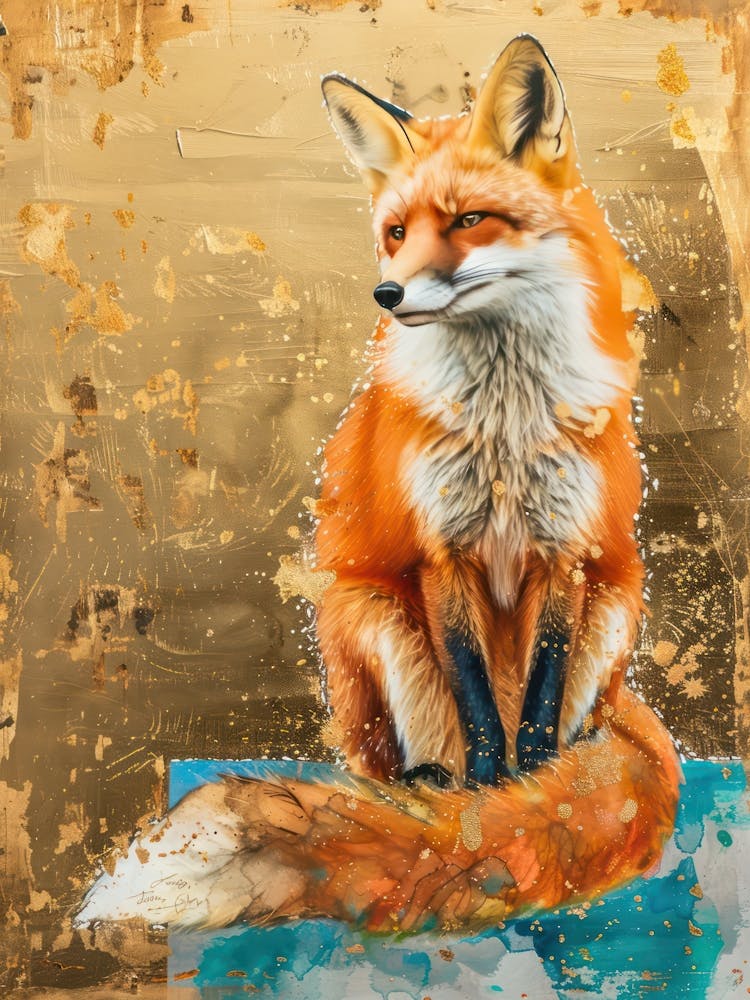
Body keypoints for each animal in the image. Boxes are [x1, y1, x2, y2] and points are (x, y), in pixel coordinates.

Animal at [77, 35, 681, 934]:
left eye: (468, 220)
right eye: (396, 232)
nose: (388, 293)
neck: (505, 424)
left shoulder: (566, 552)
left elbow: (535, 716)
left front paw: (534, 797)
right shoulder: (440, 554)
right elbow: (482, 712)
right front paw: (491, 805)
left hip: (616, 605)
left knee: (576, 721)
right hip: (368, 613)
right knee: (396, 761)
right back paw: (432, 787)